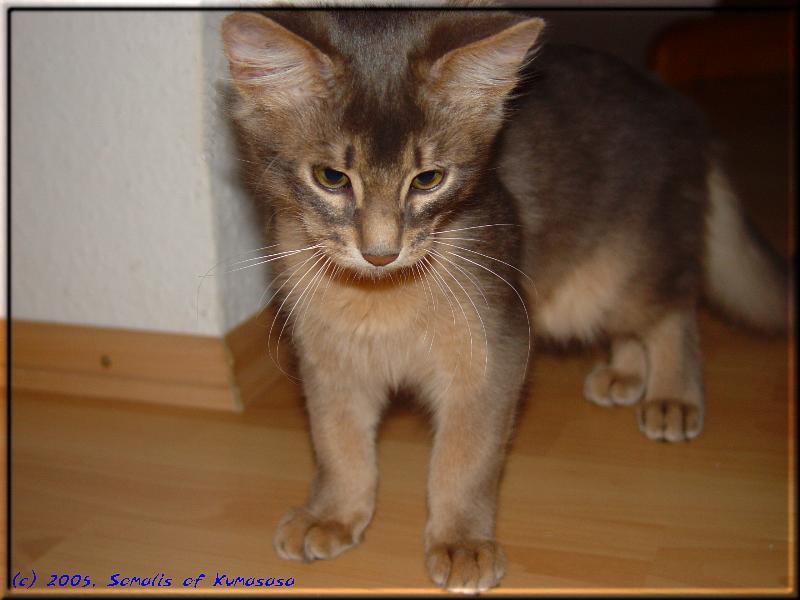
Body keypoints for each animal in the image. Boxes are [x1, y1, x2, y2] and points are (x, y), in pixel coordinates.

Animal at [222, 7, 792, 592]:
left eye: (428, 179)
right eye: (331, 177)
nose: (381, 252)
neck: (381, 296)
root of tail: (681, 109)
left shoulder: (494, 352)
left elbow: (464, 457)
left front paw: (461, 542)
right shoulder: (329, 360)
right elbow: (337, 444)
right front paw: (332, 514)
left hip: (615, 274)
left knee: (676, 306)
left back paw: (674, 396)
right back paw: (626, 375)